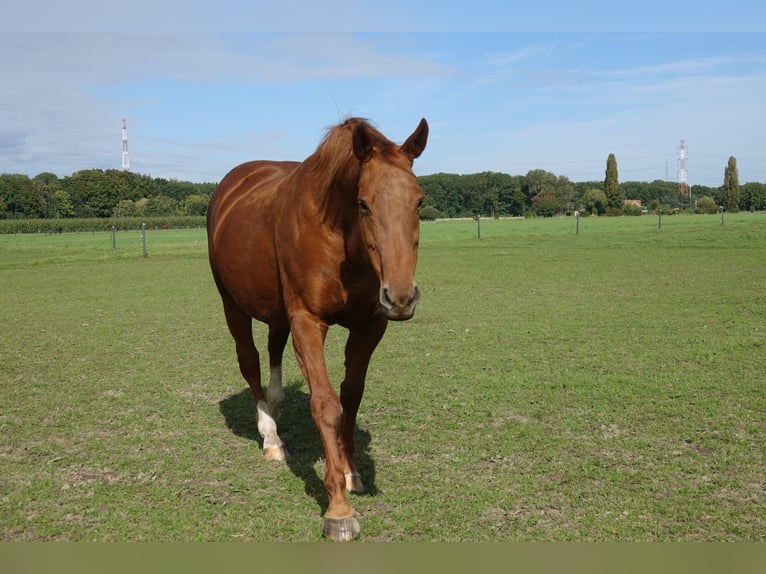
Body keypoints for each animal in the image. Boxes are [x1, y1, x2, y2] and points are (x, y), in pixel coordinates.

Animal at [207, 117, 429, 540]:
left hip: (277, 312)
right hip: (233, 307)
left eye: (419, 201)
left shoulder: (370, 325)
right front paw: (338, 509)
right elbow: (325, 404)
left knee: (273, 353)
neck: (342, 240)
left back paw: (276, 407)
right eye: (363, 203)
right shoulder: (308, 322)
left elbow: (352, 396)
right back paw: (271, 436)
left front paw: (350, 471)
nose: (401, 297)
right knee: (250, 362)